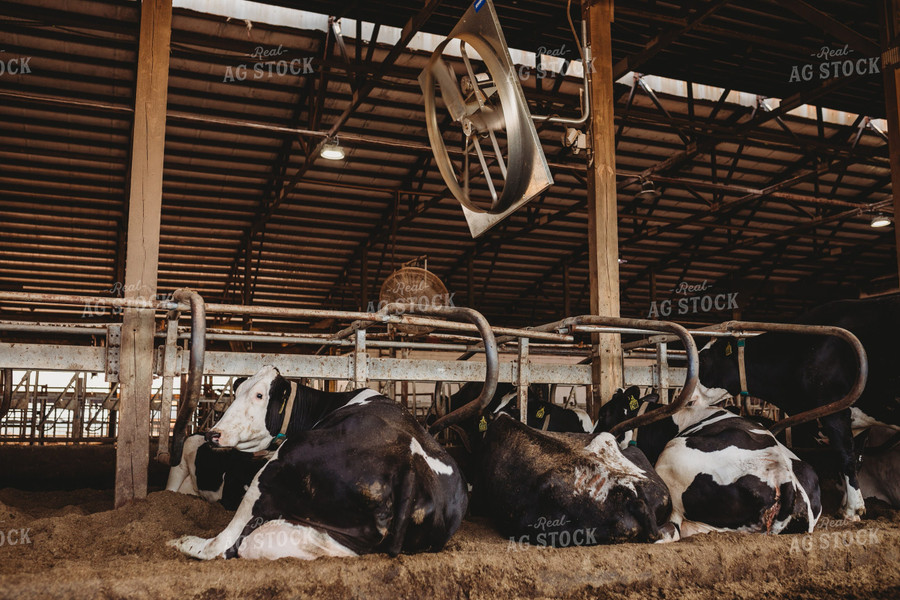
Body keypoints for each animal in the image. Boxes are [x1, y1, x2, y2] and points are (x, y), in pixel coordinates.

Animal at [166, 366, 472, 564]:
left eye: (260, 395)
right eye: (238, 390)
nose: (213, 434)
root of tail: (408, 462)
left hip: (279, 464)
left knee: (223, 544)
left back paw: (182, 542)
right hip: (343, 540)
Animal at [696, 292, 892, 516]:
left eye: (702, 361)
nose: (688, 397)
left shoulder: (834, 409)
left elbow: (847, 458)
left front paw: (853, 510)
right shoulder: (859, 422)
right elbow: (856, 459)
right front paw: (846, 505)